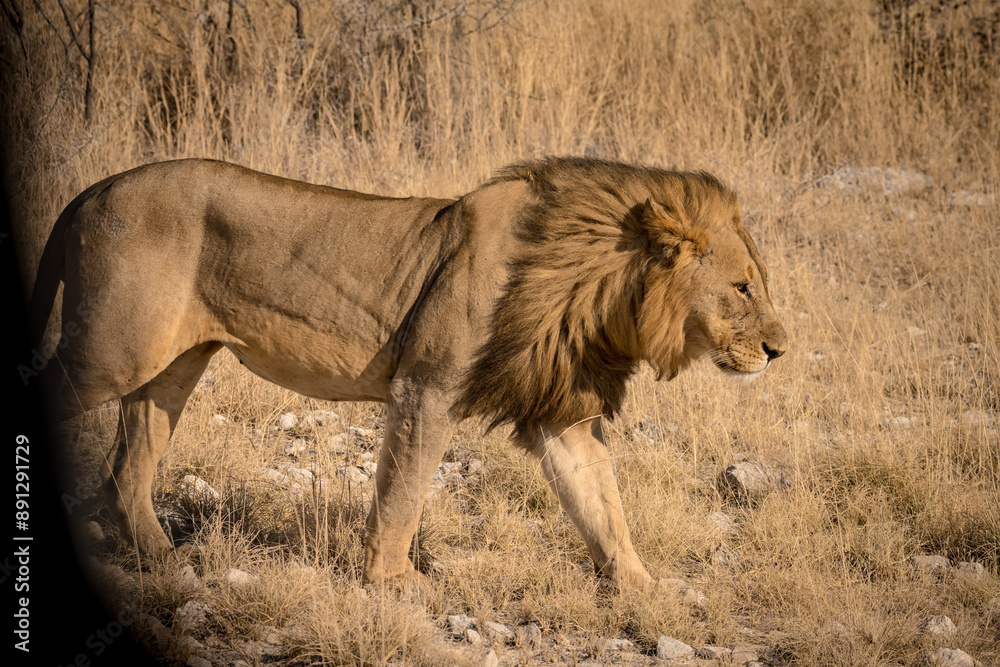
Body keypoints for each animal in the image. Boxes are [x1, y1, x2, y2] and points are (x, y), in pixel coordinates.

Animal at [30, 156, 786, 590]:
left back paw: (164, 561)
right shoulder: (429, 388)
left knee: (127, 470)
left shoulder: (560, 414)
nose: (781, 349)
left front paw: (646, 592)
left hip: (171, 363)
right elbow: (402, 492)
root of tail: (91, 190)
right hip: (112, 348)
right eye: (743, 288)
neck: (598, 285)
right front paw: (393, 584)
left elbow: (601, 504)